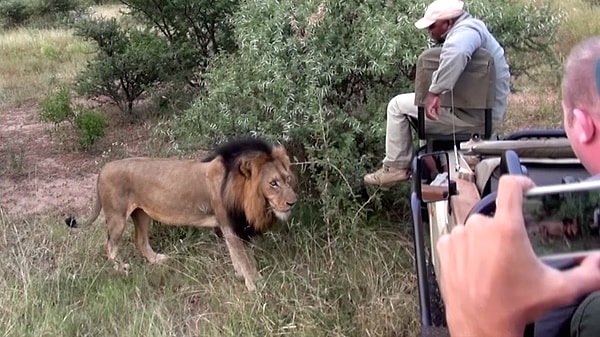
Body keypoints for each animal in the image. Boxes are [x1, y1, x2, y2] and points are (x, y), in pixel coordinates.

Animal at [68, 136, 298, 288]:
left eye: (287, 179)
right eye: (273, 183)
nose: (293, 202)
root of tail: (102, 169)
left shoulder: (232, 227)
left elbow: (239, 256)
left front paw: (242, 277)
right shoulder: (231, 226)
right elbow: (245, 258)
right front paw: (255, 285)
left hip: (141, 214)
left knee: (140, 240)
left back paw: (157, 260)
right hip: (117, 216)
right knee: (109, 245)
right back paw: (121, 268)